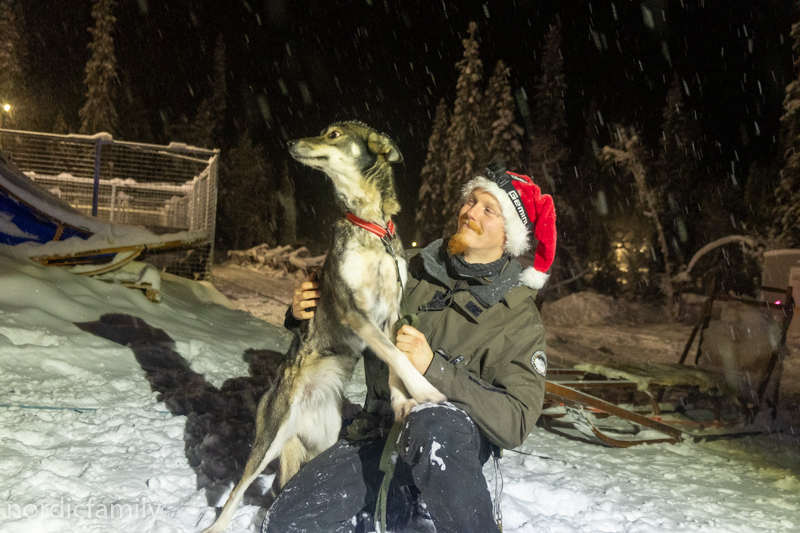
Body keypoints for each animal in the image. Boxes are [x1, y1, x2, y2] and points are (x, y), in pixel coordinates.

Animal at [200, 121, 446, 532]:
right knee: (236, 492)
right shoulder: (354, 310)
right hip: (270, 438)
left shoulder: (391, 315)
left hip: (322, 443)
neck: (371, 226)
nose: (290, 142)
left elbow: (396, 360)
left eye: (333, 134)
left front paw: (404, 400)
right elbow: (395, 356)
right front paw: (426, 391)